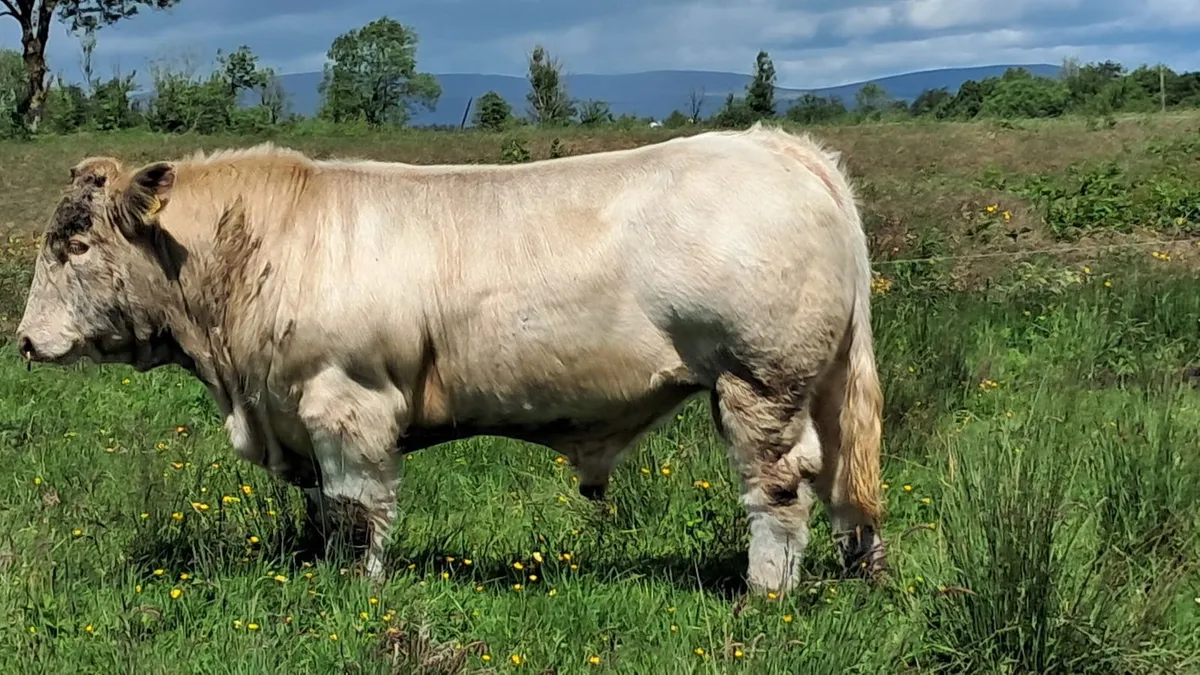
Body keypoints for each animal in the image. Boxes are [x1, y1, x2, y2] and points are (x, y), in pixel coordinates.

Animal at [15, 122, 886, 594]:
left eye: (77, 244)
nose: (24, 338)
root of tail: (779, 147)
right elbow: (322, 513)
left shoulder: (346, 403)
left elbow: (354, 513)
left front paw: (351, 597)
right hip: (823, 379)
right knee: (848, 483)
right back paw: (861, 574)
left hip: (760, 380)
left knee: (781, 489)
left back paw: (761, 597)